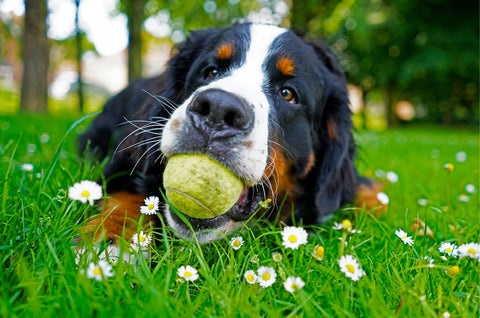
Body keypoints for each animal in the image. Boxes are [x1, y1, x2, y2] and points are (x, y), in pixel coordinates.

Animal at [79, 23, 380, 245]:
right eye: (211, 71)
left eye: (287, 93)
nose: (218, 110)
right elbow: (127, 196)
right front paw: (110, 242)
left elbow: (369, 191)